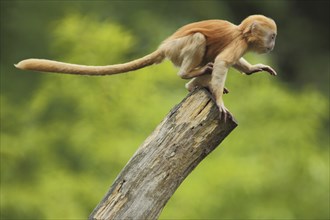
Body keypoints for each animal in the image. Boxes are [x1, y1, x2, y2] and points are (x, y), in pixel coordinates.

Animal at [16, 14, 278, 117]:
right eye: (272, 36)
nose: (273, 44)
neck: (242, 33)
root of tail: (165, 46)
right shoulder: (238, 43)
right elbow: (224, 62)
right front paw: (220, 102)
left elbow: (229, 63)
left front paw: (254, 69)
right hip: (178, 49)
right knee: (199, 41)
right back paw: (188, 76)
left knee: (209, 62)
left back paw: (194, 86)